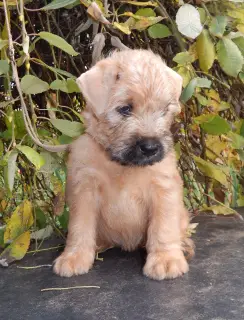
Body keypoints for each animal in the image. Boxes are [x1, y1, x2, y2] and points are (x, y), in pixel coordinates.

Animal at [53, 49, 194, 280]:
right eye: (125, 109)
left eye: (164, 110)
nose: (151, 147)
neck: (122, 165)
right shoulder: (85, 191)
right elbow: (80, 227)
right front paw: (74, 256)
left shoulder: (163, 189)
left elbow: (163, 228)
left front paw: (165, 259)